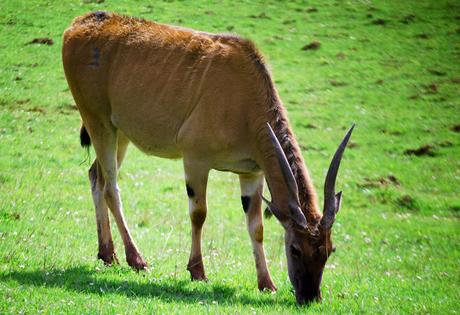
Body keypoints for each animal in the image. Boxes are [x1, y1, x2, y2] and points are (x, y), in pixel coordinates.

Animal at [63, 11, 354, 304]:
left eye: (329, 249)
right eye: (295, 248)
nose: (310, 297)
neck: (245, 100)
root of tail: (81, 23)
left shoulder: (251, 173)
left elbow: (256, 227)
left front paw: (267, 283)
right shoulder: (195, 160)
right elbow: (199, 213)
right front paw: (198, 271)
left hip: (119, 133)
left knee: (95, 176)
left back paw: (107, 254)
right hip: (98, 122)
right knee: (110, 187)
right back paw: (136, 259)